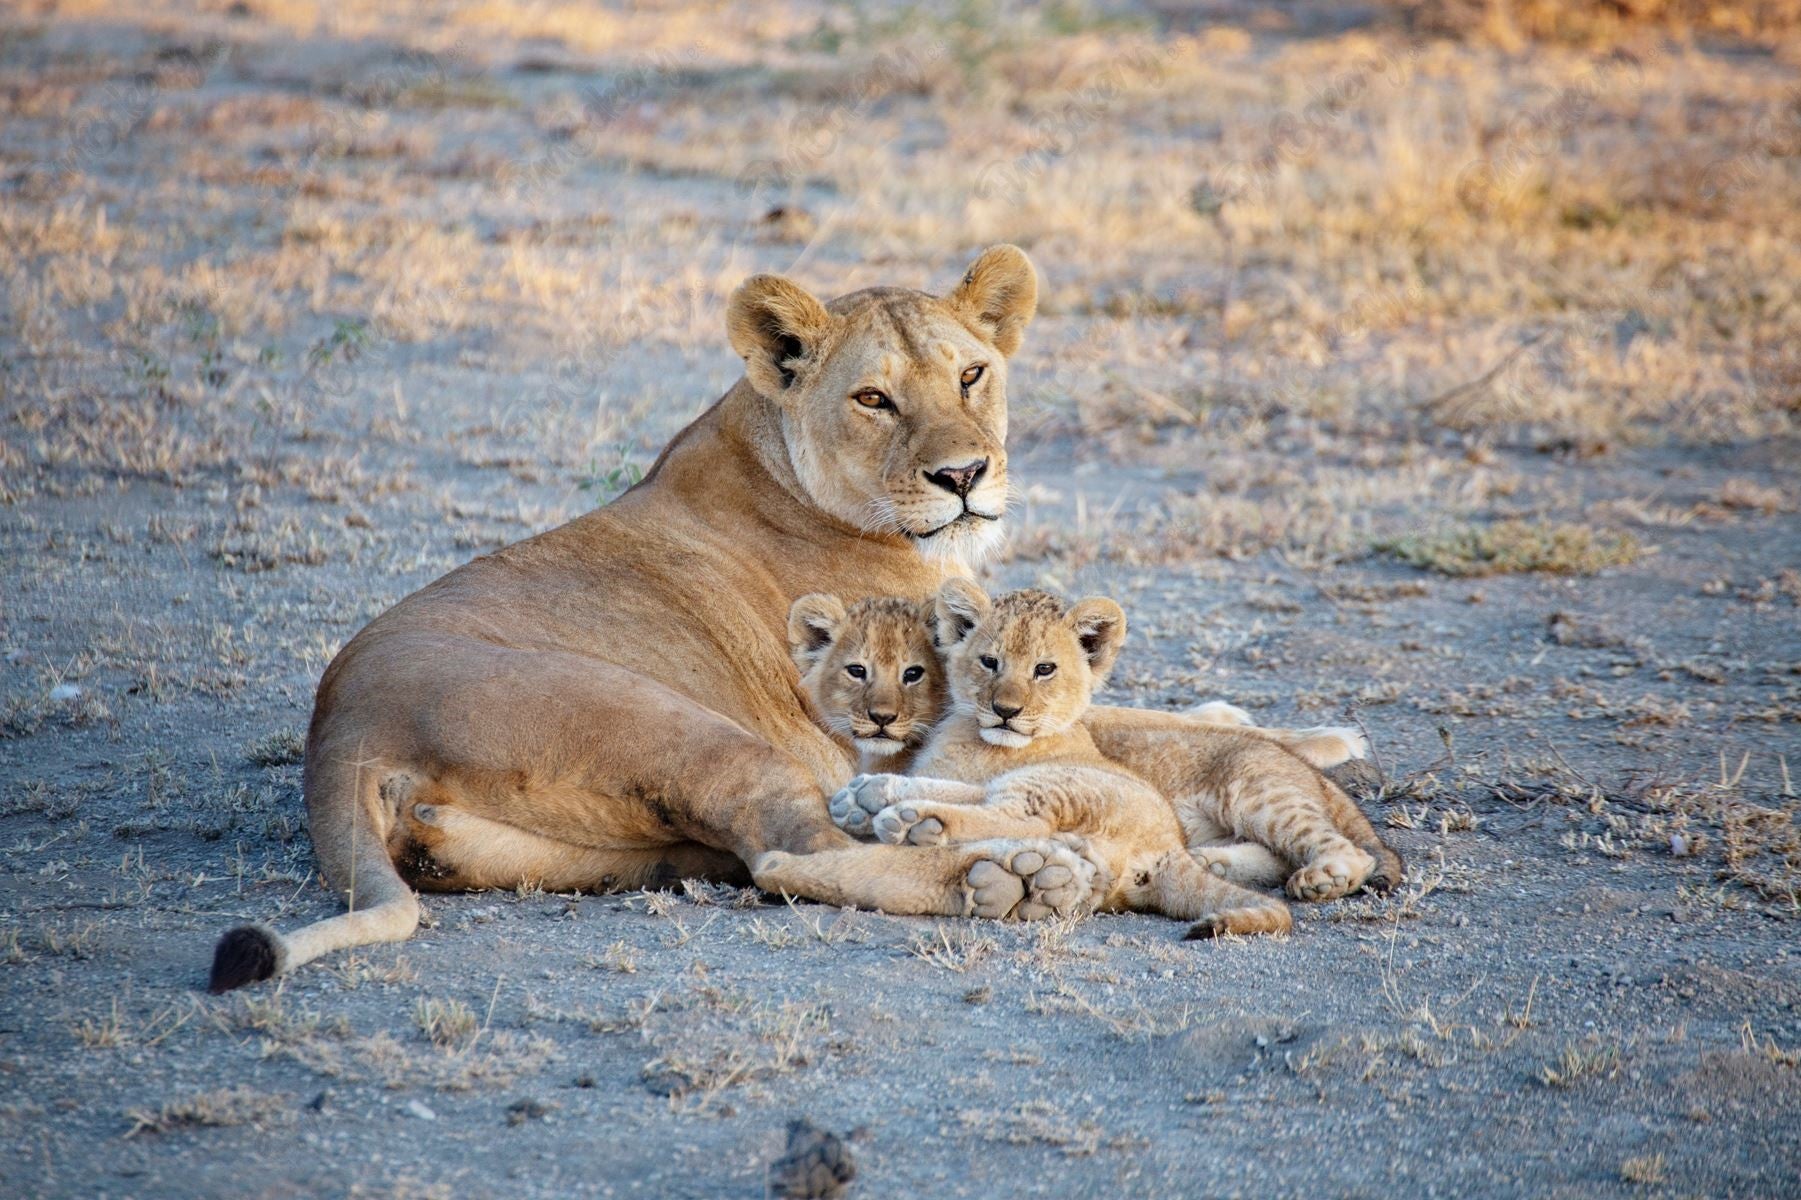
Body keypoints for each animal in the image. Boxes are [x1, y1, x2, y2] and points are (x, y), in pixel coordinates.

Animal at [207, 246, 1361, 987]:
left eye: (973, 374)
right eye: (874, 399)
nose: (964, 476)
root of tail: (343, 729)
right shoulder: (921, 707)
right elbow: (1120, 717)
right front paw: (1312, 737)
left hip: (590, 850)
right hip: (690, 731)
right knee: (797, 855)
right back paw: (1013, 878)